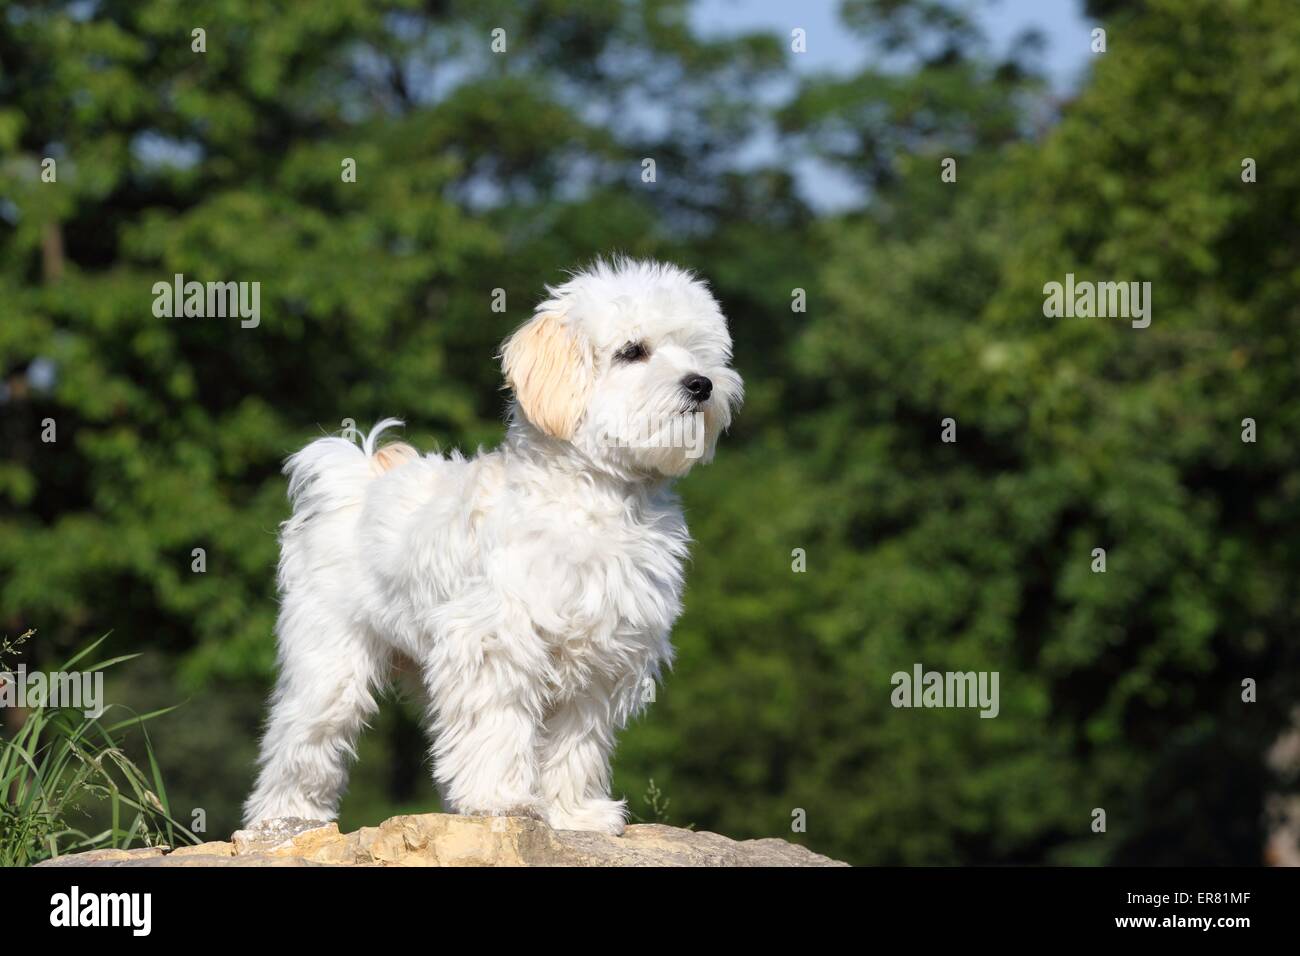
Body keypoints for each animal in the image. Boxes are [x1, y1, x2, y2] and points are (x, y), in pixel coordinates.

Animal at [244, 257, 743, 832]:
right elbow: (499, 724)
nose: (701, 383)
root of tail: (355, 482)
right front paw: (503, 801)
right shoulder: (494, 641)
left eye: (698, 351)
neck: (598, 496)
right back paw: (285, 820)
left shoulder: (600, 660)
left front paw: (574, 813)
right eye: (633, 351)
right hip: (330, 662)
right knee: (303, 734)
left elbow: (574, 744)